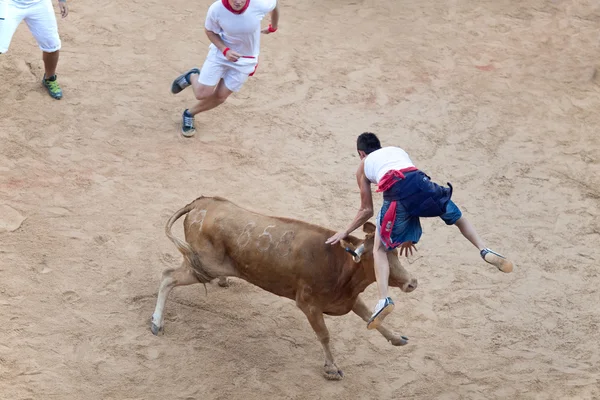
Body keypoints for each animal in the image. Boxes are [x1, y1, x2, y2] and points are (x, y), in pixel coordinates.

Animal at [150, 195, 418, 380]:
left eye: (396, 253)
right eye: (379, 258)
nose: (412, 282)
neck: (341, 264)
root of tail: (202, 202)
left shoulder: (347, 298)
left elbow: (372, 317)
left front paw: (397, 339)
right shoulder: (309, 305)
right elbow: (324, 334)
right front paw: (332, 368)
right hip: (203, 265)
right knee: (168, 276)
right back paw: (156, 322)